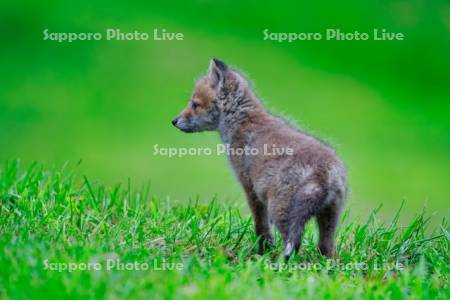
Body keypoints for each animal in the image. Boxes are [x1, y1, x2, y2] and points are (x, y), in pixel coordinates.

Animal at [172, 59, 348, 260]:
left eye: (195, 104)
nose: (174, 121)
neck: (243, 123)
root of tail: (323, 171)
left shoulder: (250, 188)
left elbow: (261, 227)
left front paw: (263, 251)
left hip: (280, 210)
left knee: (294, 246)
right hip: (329, 217)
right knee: (327, 249)